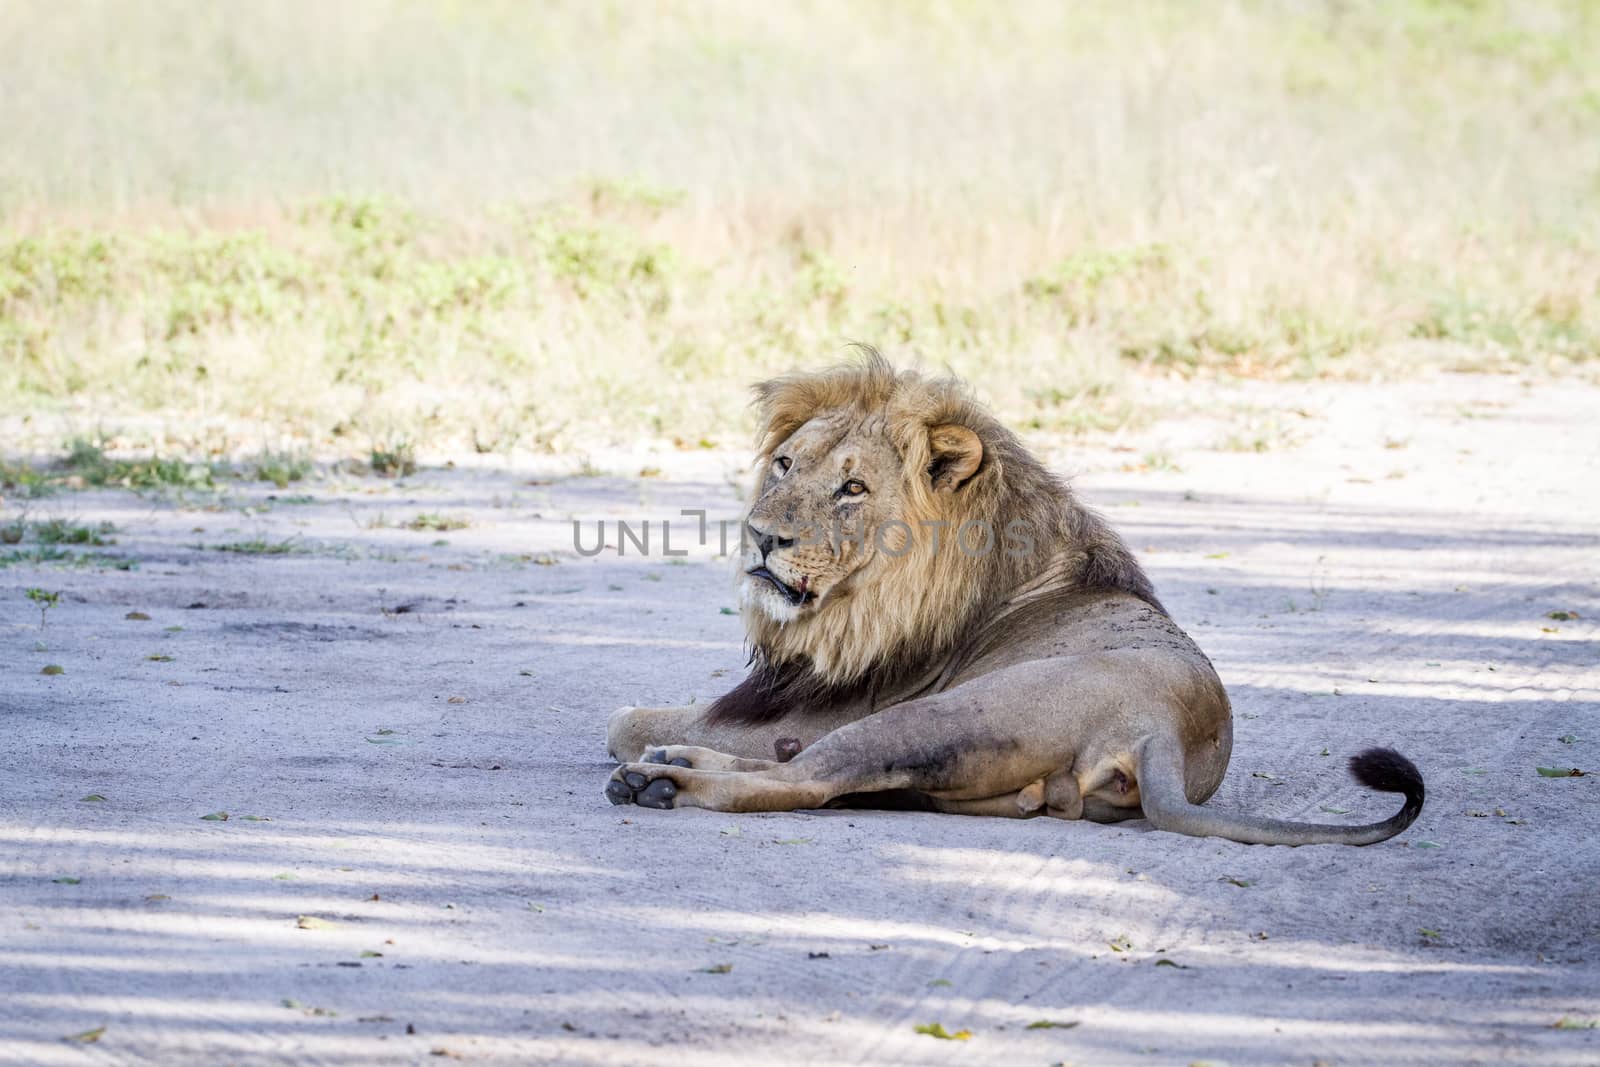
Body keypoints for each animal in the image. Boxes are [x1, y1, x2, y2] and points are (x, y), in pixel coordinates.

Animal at [601, 355, 1427, 844]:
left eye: (852, 487)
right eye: (783, 464)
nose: (760, 536)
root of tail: (1165, 729)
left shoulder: (820, 706)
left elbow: (623, 717)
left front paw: (652, 742)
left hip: (933, 714)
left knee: (803, 779)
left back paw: (661, 780)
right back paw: (672, 762)